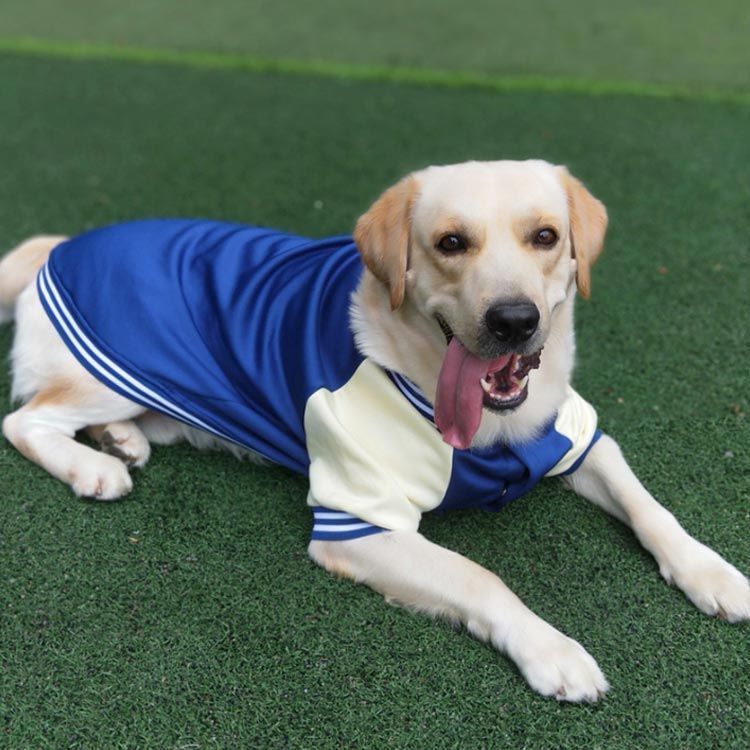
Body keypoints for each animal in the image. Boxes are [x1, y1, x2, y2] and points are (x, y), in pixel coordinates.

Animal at [1, 160, 748, 702]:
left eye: (546, 237)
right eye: (450, 243)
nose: (514, 320)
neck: (493, 426)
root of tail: (60, 247)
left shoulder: (580, 436)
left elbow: (650, 508)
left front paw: (712, 572)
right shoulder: (358, 523)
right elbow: (480, 578)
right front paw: (552, 650)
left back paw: (121, 441)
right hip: (105, 373)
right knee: (24, 418)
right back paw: (94, 466)